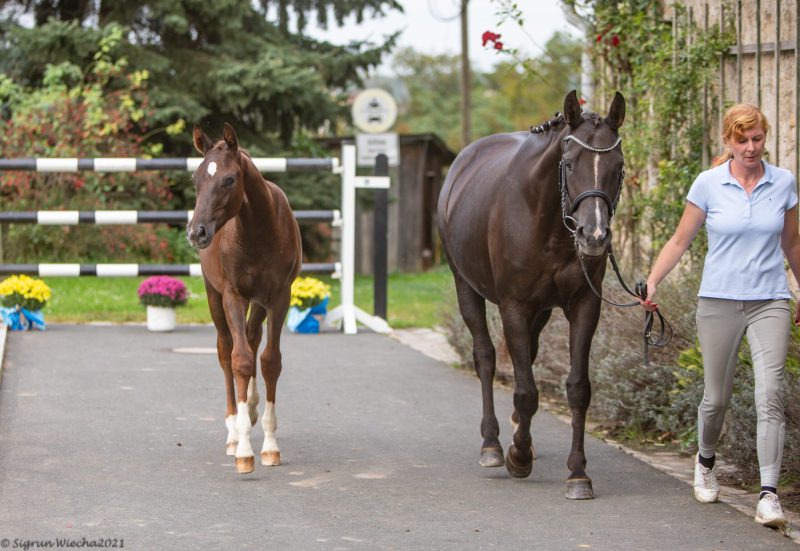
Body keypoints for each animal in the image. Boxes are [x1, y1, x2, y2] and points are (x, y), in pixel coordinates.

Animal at [186, 124, 302, 474]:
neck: (259, 232)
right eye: (195, 179)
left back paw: (249, 412)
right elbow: (240, 360)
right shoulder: (233, 296)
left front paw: (270, 446)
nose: (196, 232)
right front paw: (244, 451)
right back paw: (233, 429)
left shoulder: (278, 298)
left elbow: (269, 361)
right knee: (226, 350)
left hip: (258, 303)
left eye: (229, 180)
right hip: (214, 296)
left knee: (251, 338)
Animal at [438, 91, 624, 500]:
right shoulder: (514, 307)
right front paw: (517, 456)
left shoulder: (584, 305)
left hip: (542, 311)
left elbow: (577, 388)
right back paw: (493, 443)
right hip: (466, 286)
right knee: (485, 357)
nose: (594, 236)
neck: (549, 223)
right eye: (569, 164)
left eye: (618, 165)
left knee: (530, 355)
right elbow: (525, 390)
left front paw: (578, 474)